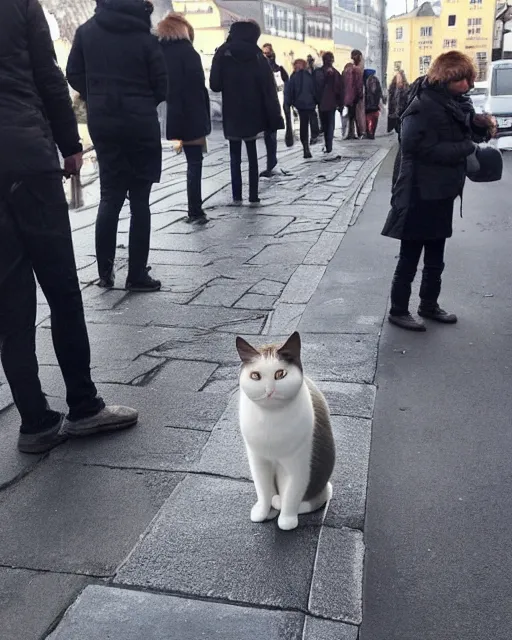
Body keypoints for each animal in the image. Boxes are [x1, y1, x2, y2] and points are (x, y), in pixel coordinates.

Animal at [236, 332, 336, 532]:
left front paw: (287, 521)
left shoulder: (299, 464)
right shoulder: (258, 461)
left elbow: (291, 494)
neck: (270, 420)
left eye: (280, 374)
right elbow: (263, 491)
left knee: (313, 497)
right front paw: (262, 512)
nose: (269, 391)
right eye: (255, 376)